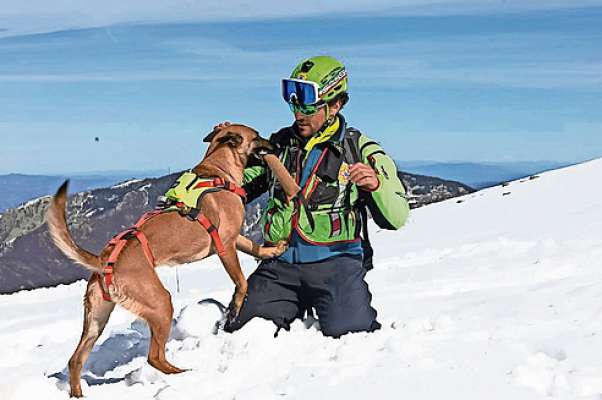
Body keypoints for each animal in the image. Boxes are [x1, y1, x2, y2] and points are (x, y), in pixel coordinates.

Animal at [47, 124, 298, 396]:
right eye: (257, 136)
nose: (276, 145)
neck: (217, 171)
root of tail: (104, 261)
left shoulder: (236, 239)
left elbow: (256, 249)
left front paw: (273, 250)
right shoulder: (226, 246)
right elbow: (241, 282)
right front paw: (234, 308)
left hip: (96, 320)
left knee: (76, 359)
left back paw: (78, 393)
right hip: (160, 303)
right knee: (154, 357)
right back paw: (183, 374)